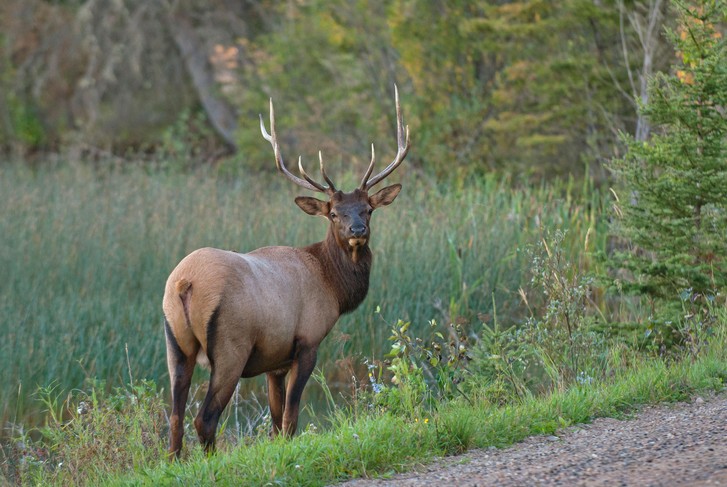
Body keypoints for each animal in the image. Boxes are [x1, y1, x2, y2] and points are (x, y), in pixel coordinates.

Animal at [164, 86, 410, 458]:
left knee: (175, 418)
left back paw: (177, 462)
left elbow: (275, 421)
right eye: (334, 213)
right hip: (231, 347)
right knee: (204, 418)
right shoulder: (308, 341)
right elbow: (291, 419)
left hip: (175, 343)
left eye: (368, 209)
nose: (357, 230)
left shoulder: (274, 361)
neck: (332, 285)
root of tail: (184, 282)